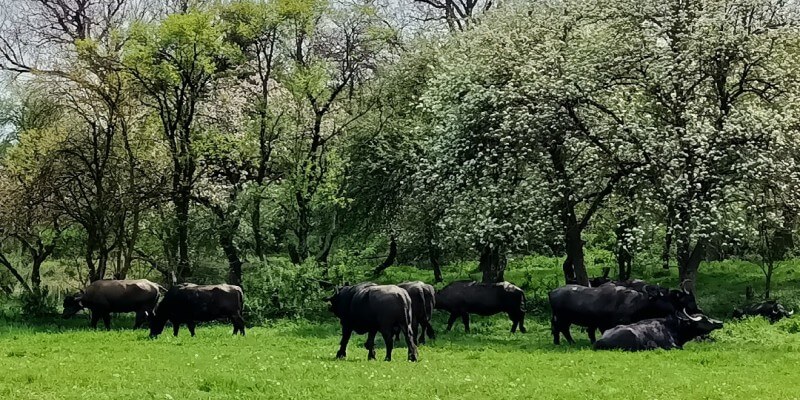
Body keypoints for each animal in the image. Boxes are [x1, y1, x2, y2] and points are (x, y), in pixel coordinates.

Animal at [552, 282, 700, 346]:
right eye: (665, 298)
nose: (697, 309)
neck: (638, 303)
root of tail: (553, 292)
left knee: (561, 329)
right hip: (561, 318)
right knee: (559, 329)